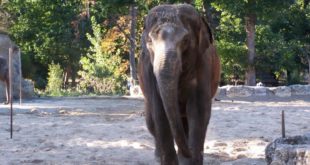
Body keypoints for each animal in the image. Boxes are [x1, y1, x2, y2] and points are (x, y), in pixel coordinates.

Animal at [137, 3, 220, 165]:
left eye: (186, 40)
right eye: (150, 41)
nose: (188, 152)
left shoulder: (203, 63)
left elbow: (198, 110)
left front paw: (190, 160)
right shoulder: (149, 69)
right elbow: (160, 111)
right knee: (151, 122)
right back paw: (159, 157)